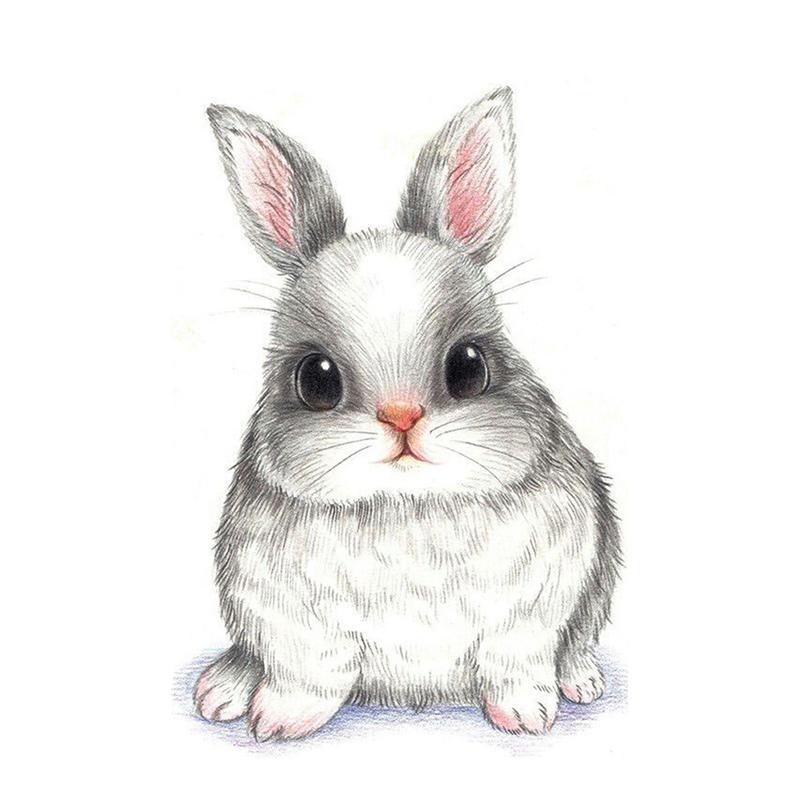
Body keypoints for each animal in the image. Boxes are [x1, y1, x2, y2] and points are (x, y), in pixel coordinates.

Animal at [193, 87, 621, 741]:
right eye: (315, 379)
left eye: (469, 366)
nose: (401, 418)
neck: (407, 504)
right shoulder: (286, 616)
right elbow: (308, 673)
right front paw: (280, 721)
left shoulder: (531, 611)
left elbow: (513, 664)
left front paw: (525, 716)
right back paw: (223, 688)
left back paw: (581, 680)